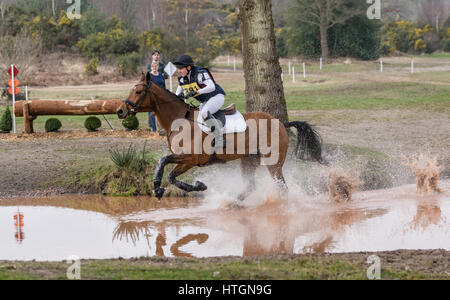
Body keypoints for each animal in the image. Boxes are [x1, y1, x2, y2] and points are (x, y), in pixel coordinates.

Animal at [118, 72, 326, 202]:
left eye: (138, 91)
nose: (120, 111)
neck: (179, 120)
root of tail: (281, 123)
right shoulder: (185, 159)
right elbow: (166, 167)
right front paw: (158, 188)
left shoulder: (191, 159)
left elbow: (167, 168)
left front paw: (198, 185)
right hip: (249, 159)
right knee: (250, 186)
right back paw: (232, 203)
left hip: (273, 163)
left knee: (282, 187)